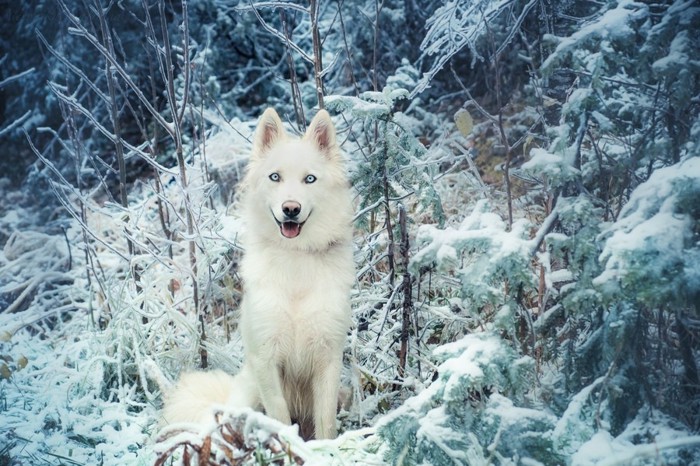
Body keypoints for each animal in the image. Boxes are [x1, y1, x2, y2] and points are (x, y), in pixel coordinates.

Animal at [164, 109, 356, 440]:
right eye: (274, 177)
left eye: (309, 179)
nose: (290, 209)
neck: (295, 257)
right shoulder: (266, 360)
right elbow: (280, 417)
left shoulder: (328, 359)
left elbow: (326, 423)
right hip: (249, 392)